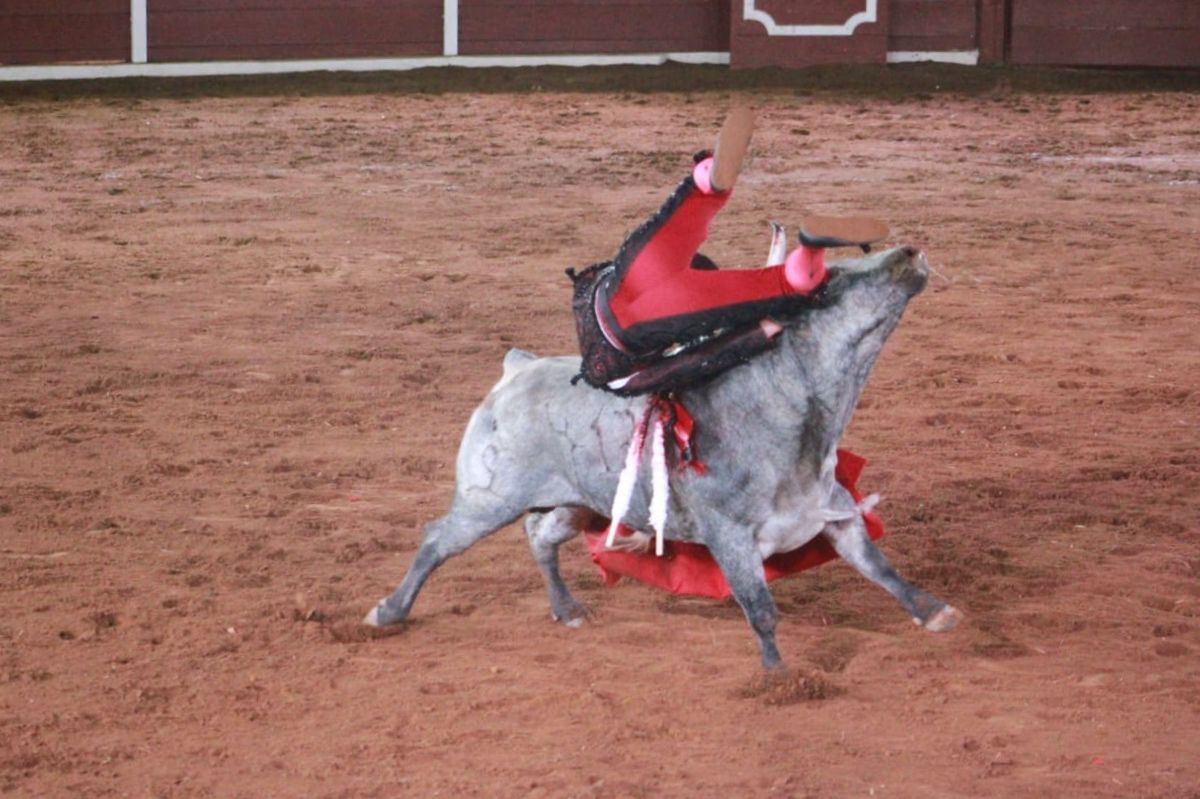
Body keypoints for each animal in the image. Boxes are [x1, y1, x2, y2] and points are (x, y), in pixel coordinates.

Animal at [360, 242, 960, 667]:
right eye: (827, 281)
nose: (908, 252)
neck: (789, 413)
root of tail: (518, 369)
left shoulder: (832, 512)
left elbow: (880, 568)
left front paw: (935, 612)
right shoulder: (730, 535)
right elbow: (760, 608)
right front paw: (779, 679)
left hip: (583, 502)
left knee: (540, 535)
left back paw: (567, 610)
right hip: (488, 498)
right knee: (439, 539)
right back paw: (388, 612)